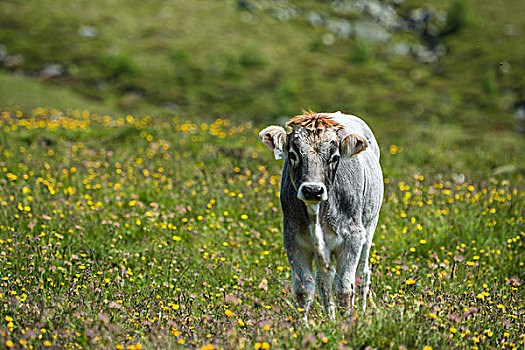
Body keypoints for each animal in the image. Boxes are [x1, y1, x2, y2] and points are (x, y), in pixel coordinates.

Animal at [260, 111, 382, 320]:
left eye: (334, 157)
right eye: (293, 154)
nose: (312, 190)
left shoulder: (353, 238)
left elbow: (344, 287)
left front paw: (347, 323)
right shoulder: (293, 240)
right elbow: (304, 289)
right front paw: (304, 326)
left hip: (369, 229)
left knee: (362, 274)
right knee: (323, 279)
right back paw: (330, 318)